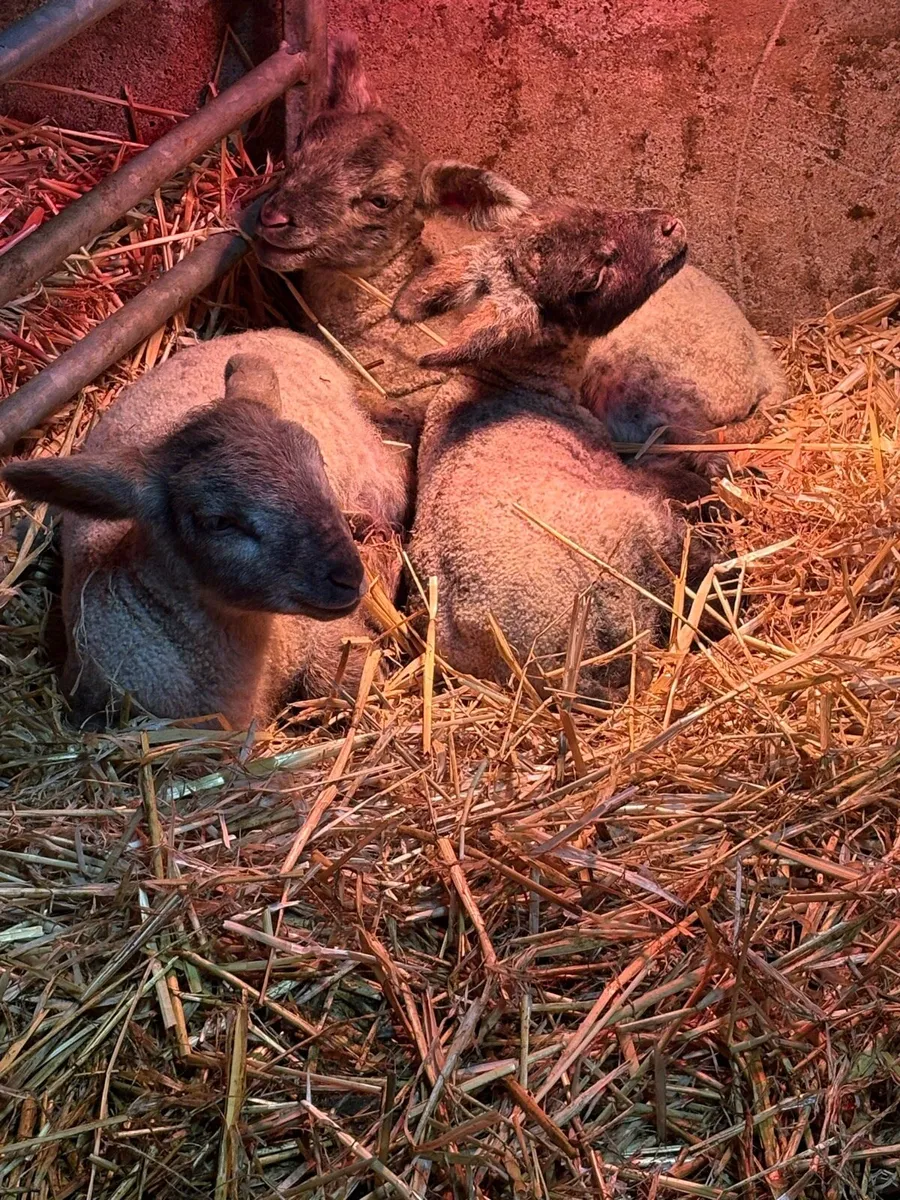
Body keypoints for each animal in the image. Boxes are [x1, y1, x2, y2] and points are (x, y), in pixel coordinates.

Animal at [2, 329, 408, 729]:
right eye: (218, 522)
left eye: (318, 461)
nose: (348, 577)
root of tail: (277, 332)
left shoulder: (320, 635)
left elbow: (342, 677)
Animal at [391, 194, 724, 695]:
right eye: (593, 277)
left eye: (589, 207)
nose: (670, 226)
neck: (508, 385)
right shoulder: (619, 474)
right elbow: (678, 481)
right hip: (640, 541)